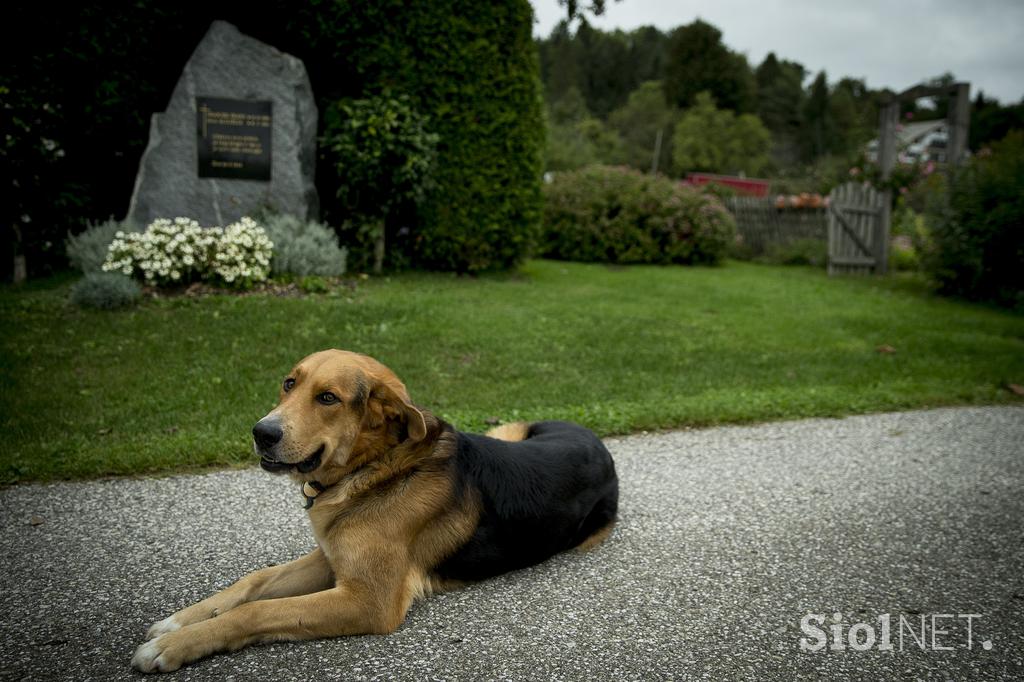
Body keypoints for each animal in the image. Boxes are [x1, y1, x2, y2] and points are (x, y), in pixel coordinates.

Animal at [132, 348, 618, 667]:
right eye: (290, 384)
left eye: (328, 398)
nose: (261, 433)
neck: (376, 466)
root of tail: (595, 438)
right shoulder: (331, 557)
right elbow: (254, 582)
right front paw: (180, 622)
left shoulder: (369, 599)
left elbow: (259, 610)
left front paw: (174, 647)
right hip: (508, 431)